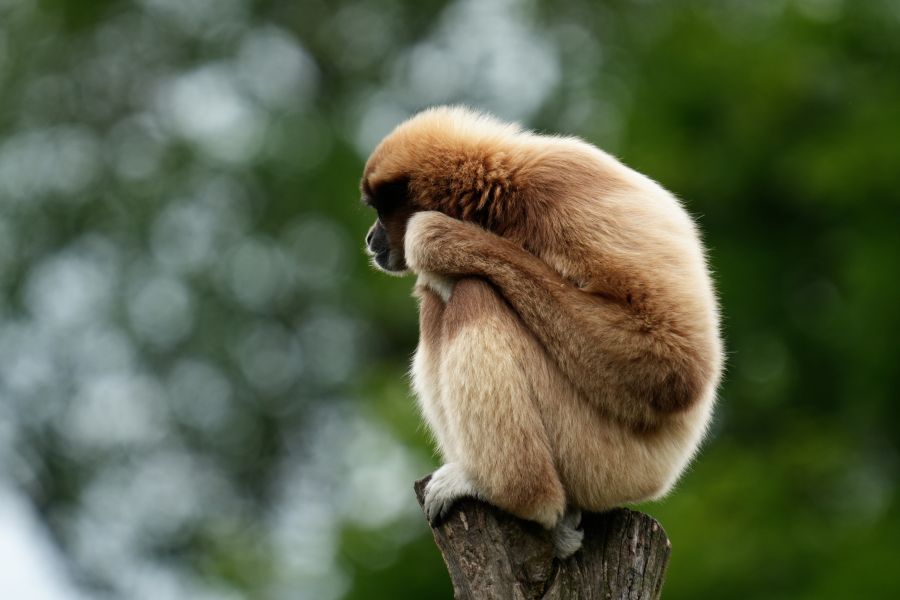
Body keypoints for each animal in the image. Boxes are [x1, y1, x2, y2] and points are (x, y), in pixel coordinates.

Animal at [361, 106, 723, 557]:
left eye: (379, 212)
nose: (370, 238)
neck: (505, 197)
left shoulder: (568, 192)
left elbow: (675, 369)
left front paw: (437, 239)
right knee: (439, 302)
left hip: (606, 460)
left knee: (472, 292)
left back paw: (514, 496)